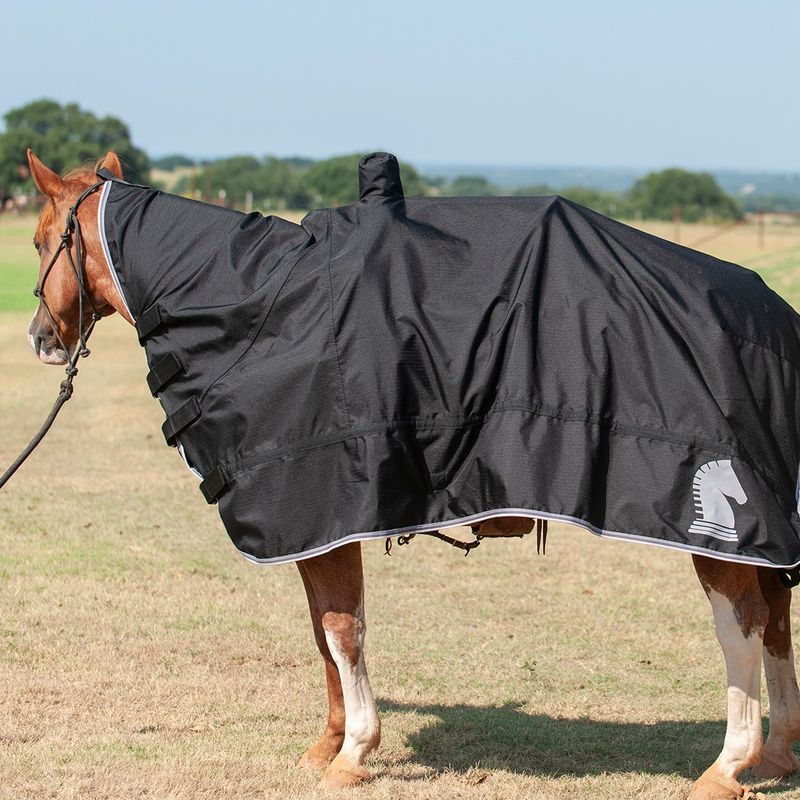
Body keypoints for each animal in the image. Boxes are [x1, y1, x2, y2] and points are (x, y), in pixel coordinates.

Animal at [21, 148, 800, 800]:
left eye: (37, 240)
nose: (39, 339)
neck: (260, 308)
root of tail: (772, 316)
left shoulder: (325, 515)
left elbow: (342, 631)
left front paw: (353, 753)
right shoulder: (317, 529)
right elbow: (324, 634)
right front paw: (328, 742)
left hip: (721, 525)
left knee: (742, 625)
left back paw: (727, 766)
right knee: (776, 619)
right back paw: (775, 754)